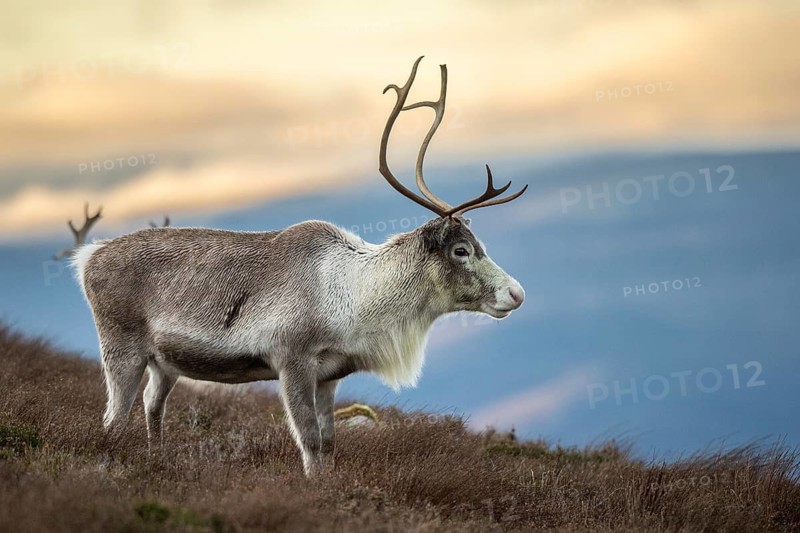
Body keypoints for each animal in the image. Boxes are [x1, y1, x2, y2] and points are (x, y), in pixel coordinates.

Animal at [69, 56, 527, 476]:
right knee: (113, 419)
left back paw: (157, 461)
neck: (354, 298)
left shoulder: (330, 374)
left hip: (165, 363)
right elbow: (308, 439)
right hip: (122, 348)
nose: (517, 293)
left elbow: (329, 441)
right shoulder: (290, 361)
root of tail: (87, 257)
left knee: (152, 407)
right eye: (461, 250)